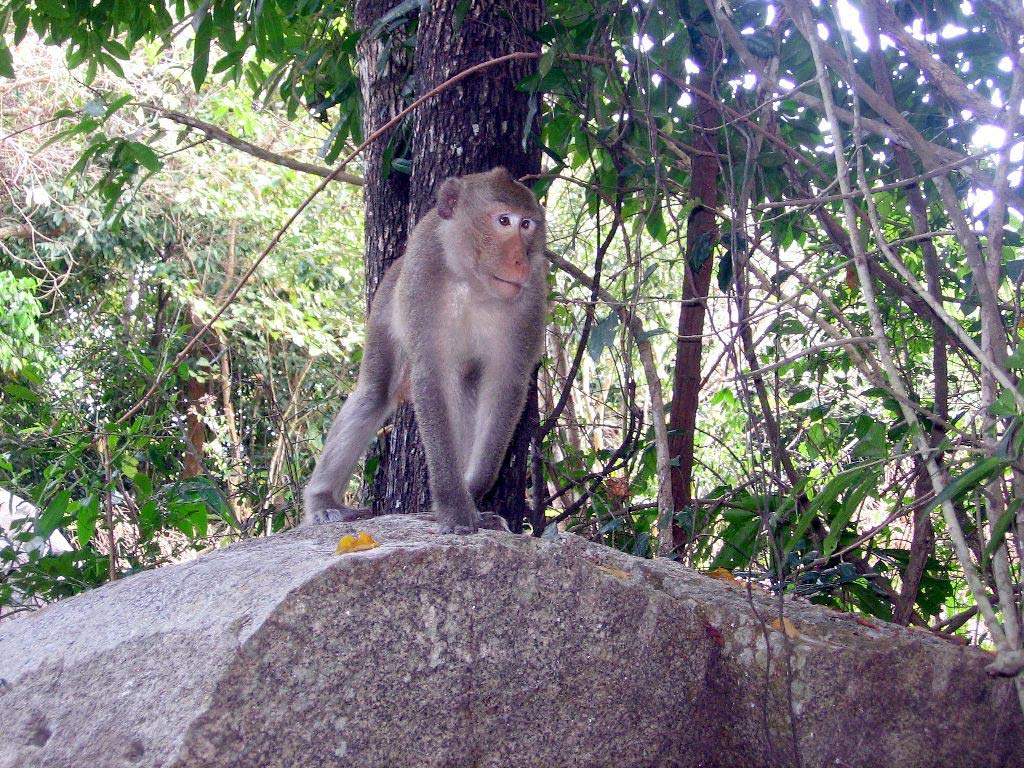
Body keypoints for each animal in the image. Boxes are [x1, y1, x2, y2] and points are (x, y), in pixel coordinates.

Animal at [301, 166, 548, 536]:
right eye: (504, 221)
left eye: (527, 224)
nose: (520, 261)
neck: (472, 282)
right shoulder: (422, 275)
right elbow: (432, 377)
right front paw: (455, 508)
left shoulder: (531, 297)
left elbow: (506, 385)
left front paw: (472, 495)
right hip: (385, 306)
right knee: (374, 393)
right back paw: (323, 502)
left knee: (468, 385)